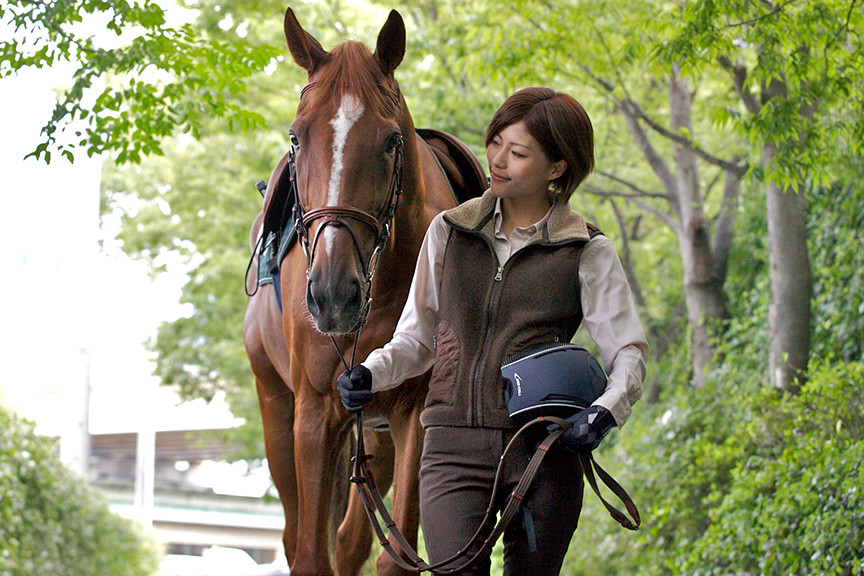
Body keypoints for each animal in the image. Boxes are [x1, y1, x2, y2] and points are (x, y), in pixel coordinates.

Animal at [243, 7, 485, 576]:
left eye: (392, 141)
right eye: (296, 139)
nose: (334, 295)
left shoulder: (413, 416)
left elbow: (394, 554)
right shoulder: (314, 413)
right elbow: (310, 554)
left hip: (374, 436)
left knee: (352, 539)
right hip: (276, 408)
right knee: (298, 536)